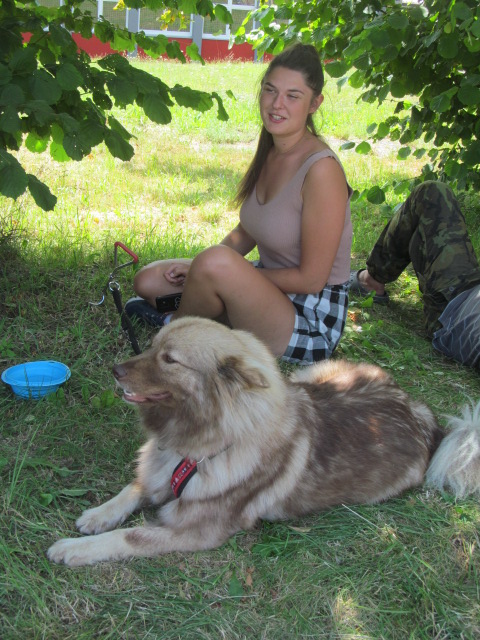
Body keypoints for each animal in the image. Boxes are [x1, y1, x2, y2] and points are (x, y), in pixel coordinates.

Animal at [48, 317, 480, 566]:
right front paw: (97, 514)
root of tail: (425, 419)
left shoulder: (192, 531)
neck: (201, 449)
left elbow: (128, 535)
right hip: (310, 376)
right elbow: (131, 490)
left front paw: (73, 549)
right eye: (152, 346)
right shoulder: (157, 475)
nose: (114, 370)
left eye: (169, 360)